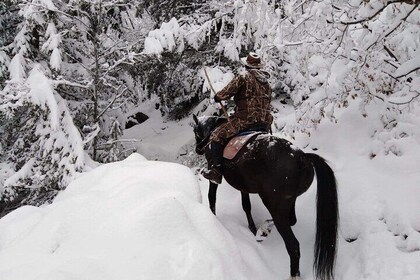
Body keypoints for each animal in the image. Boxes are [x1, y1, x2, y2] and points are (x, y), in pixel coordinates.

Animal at [193, 114, 338, 280]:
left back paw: (292, 273)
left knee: (293, 245)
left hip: (274, 205)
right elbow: (246, 205)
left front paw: (213, 217)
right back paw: (263, 231)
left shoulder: (214, 175)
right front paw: (252, 228)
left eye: (195, 130)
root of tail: (302, 157)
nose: (198, 149)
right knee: (292, 220)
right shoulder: (243, 186)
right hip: (288, 201)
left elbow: (212, 197)